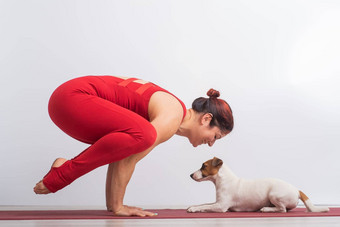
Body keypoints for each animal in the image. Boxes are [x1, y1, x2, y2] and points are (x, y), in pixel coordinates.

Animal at [189, 158, 330, 213]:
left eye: (203, 166)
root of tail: (296, 189)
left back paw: (266, 209)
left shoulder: (221, 206)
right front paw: (192, 206)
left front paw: (194, 209)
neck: (224, 180)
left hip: (274, 195)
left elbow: (205, 207)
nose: (190, 175)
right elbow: (204, 204)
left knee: (282, 209)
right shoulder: (217, 202)